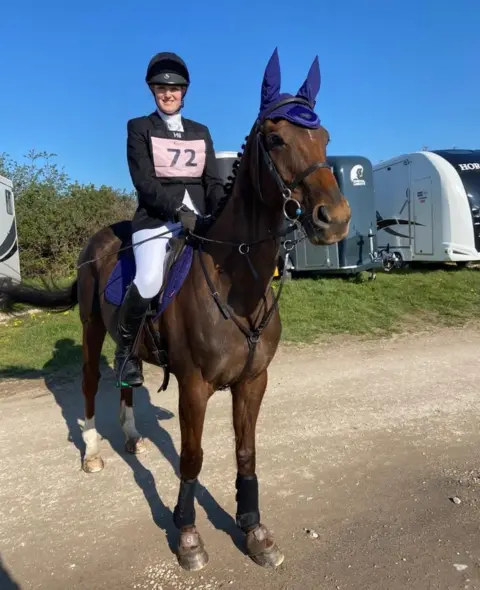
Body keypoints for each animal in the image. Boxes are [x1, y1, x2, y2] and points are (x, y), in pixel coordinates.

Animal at [0, 51, 352, 572]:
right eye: (275, 138)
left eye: (324, 137)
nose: (336, 219)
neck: (237, 284)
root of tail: (99, 238)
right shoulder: (195, 386)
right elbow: (192, 458)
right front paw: (187, 536)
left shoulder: (253, 381)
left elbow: (246, 454)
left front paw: (255, 531)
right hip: (89, 329)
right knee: (89, 384)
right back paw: (93, 451)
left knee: (125, 377)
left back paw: (130, 436)